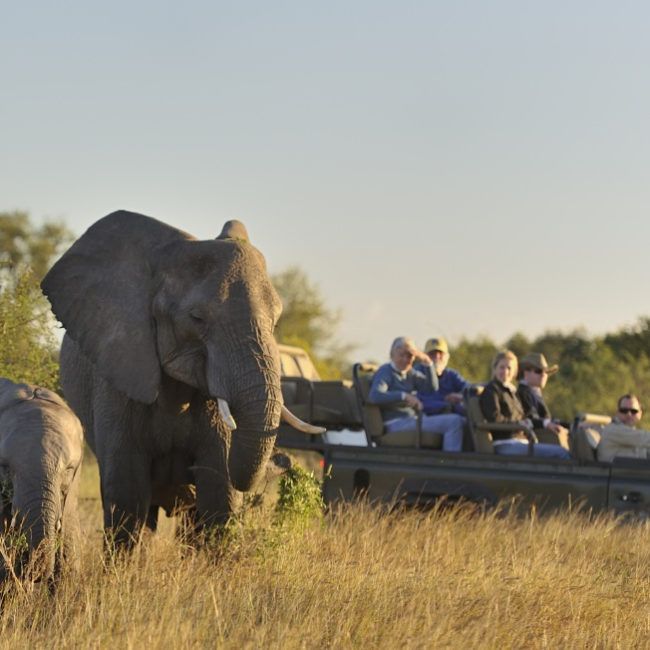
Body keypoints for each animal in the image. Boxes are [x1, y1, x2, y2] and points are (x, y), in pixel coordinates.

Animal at [40, 210, 318, 544]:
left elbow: (219, 494)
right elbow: (126, 493)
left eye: (275, 322)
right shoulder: (118, 374)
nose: (285, 461)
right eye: (196, 318)